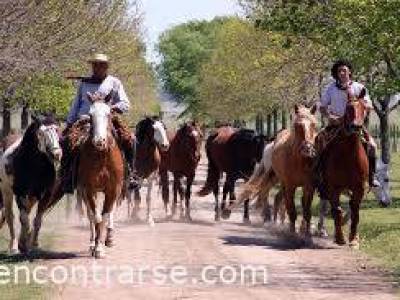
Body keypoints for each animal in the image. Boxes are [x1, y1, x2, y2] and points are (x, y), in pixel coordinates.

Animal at [0, 115, 62, 253]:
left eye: (57, 130)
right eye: (41, 133)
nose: (57, 154)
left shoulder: (45, 195)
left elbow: (37, 220)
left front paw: (33, 245)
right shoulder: (20, 194)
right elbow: (24, 219)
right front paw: (22, 246)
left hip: (32, 197)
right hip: (6, 192)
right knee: (10, 216)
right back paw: (13, 246)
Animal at [75, 92, 124, 258]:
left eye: (108, 113)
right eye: (90, 115)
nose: (99, 141)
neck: (102, 157)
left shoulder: (113, 190)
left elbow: (105, 215)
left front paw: (102, 246)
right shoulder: (89, 190)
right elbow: (96, 216)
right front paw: (96, 247)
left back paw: (108, 239)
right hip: (85, 192)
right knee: (91, 215)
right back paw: (92, 243)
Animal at [223, 105, 318, 237]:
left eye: (314, 124)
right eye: (297, 125)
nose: (308, 149)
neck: (300, 161)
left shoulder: (309, 186)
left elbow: (307, 211)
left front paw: (307, 233)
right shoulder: (290, 186)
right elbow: (292, 210)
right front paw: (292, 233)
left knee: (275, 197)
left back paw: (275, 221)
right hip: (274, 178)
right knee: (265, 193)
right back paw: (269, 220)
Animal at [318, 88, 370, 247]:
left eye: (364, 107)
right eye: (349, 108)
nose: (356, 127)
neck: (348, 156)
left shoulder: (359, 188)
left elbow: (355, 211)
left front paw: (353, 239)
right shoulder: (333, 187)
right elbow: (337, 210)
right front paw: (340, 237)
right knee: (325, 206)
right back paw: (322, 229)